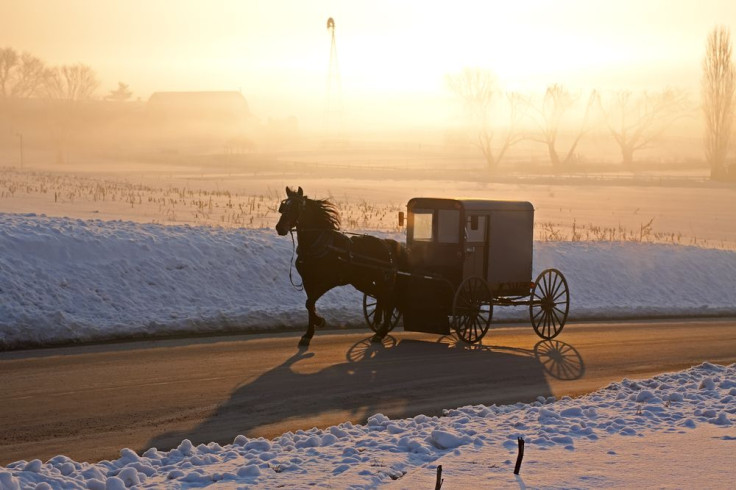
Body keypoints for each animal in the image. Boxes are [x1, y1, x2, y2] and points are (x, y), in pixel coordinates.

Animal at [276, 186, 406, 346]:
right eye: (283, 207)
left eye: (296, 207)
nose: (279, 228)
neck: (318, 246)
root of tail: (388, 245)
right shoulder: (308, 281)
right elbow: (310, 305)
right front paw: (308, 333)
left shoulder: (329, 280)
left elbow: (309, 303)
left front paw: (320, 321)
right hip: (364, 281)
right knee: (381, 298)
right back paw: (377, 324)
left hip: (382, 281)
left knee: (389, 300)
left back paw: (381, 332)